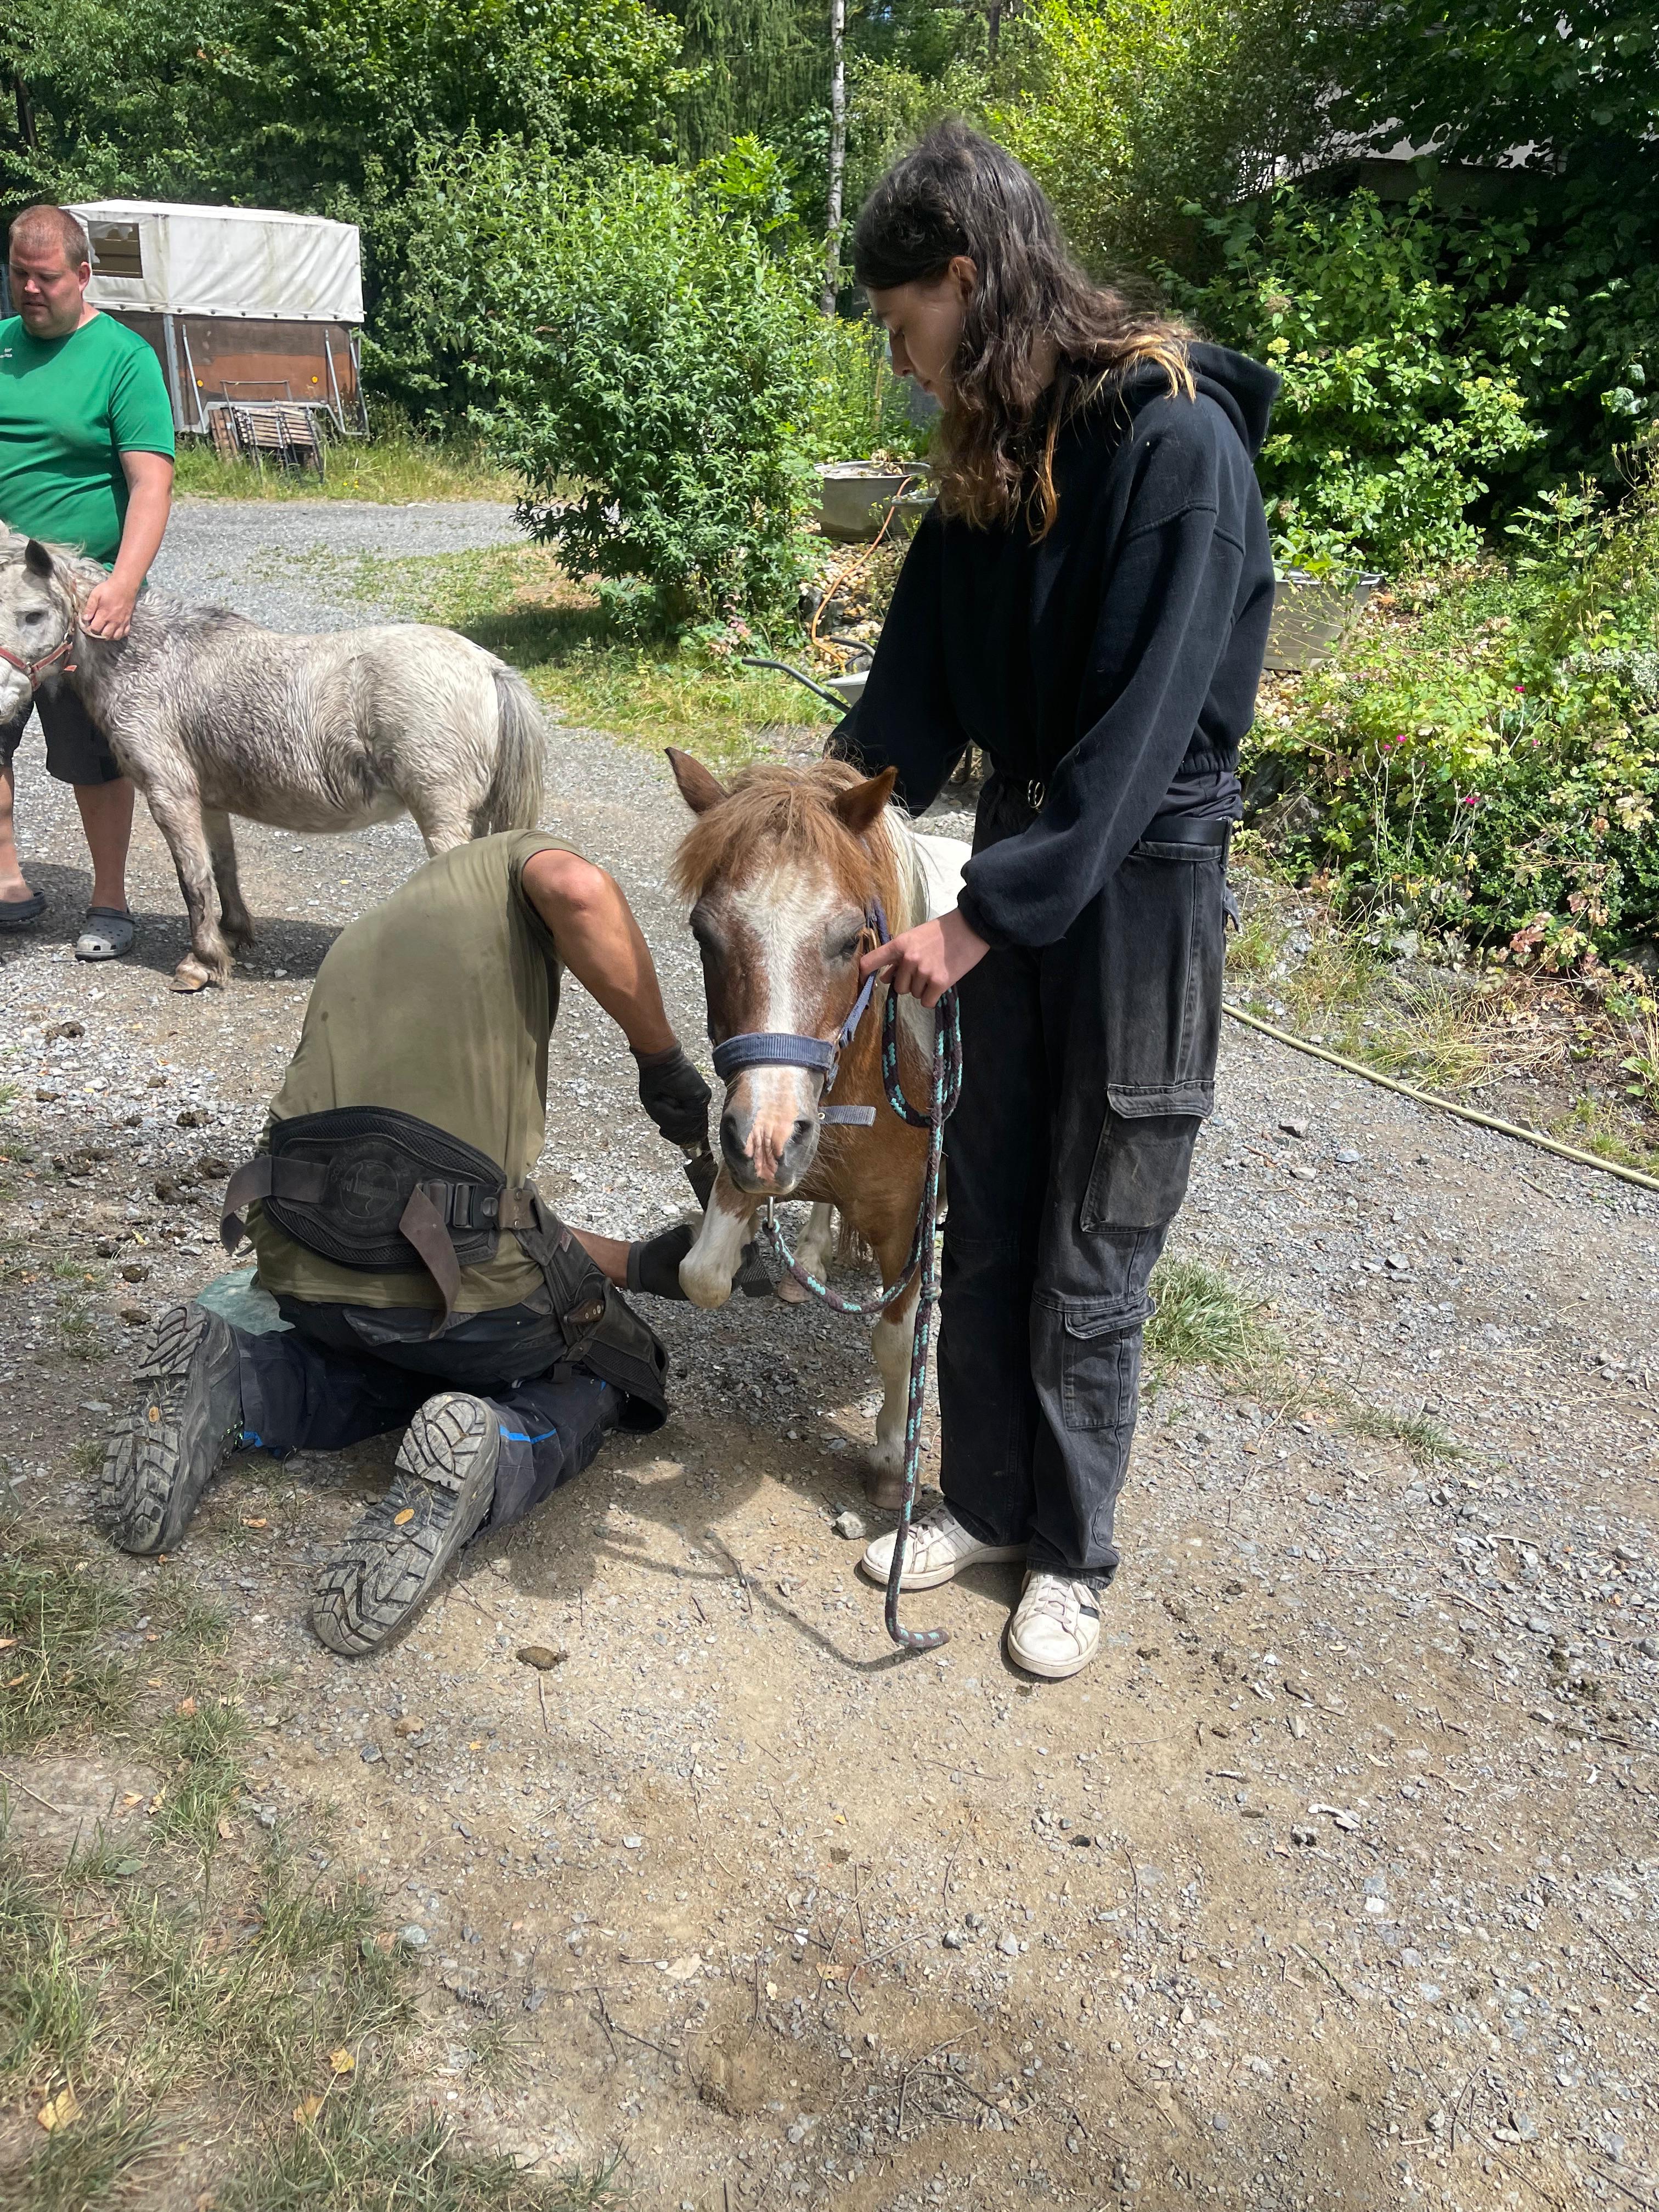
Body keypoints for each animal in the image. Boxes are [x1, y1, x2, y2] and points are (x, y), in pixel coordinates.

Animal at [0, 535, 545, 990]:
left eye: (34, 615)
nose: (3, 702)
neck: (150, 659)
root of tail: (487, 666)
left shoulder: (170, 795)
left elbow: (193, 878)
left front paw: (201, 963)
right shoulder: (208, 800)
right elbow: (221, 866)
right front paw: (234, 936)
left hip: (442, 816)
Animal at [667, 747, 965, 1506]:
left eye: (851, 940)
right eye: (704, 935)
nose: (768, 1141)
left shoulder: (906, 1227)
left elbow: (897, 1344)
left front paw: (891, 1460)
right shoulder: (745, 1162)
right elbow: (700, 1274)